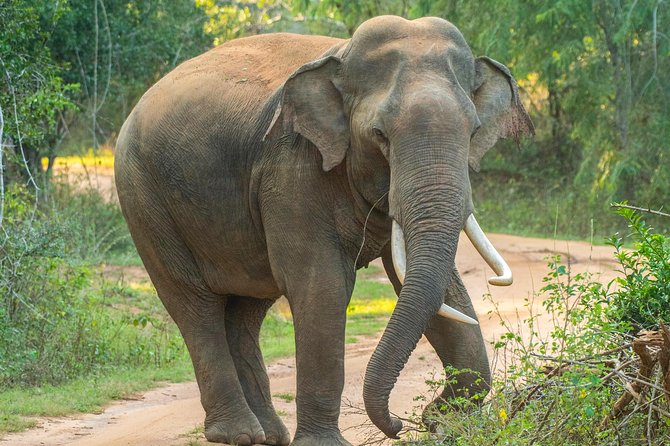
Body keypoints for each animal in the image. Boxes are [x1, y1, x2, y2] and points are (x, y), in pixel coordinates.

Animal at [114, 15, 533, 446]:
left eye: (474, 131)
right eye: (379, 134)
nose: (402, 424)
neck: (342, 56)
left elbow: (439, 288)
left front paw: (447, 423)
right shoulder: (291, 167)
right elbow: (321, 285)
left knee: (246, 309)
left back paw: (269, 435)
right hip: (144, 198)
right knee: (194, 303)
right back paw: (238, 433)